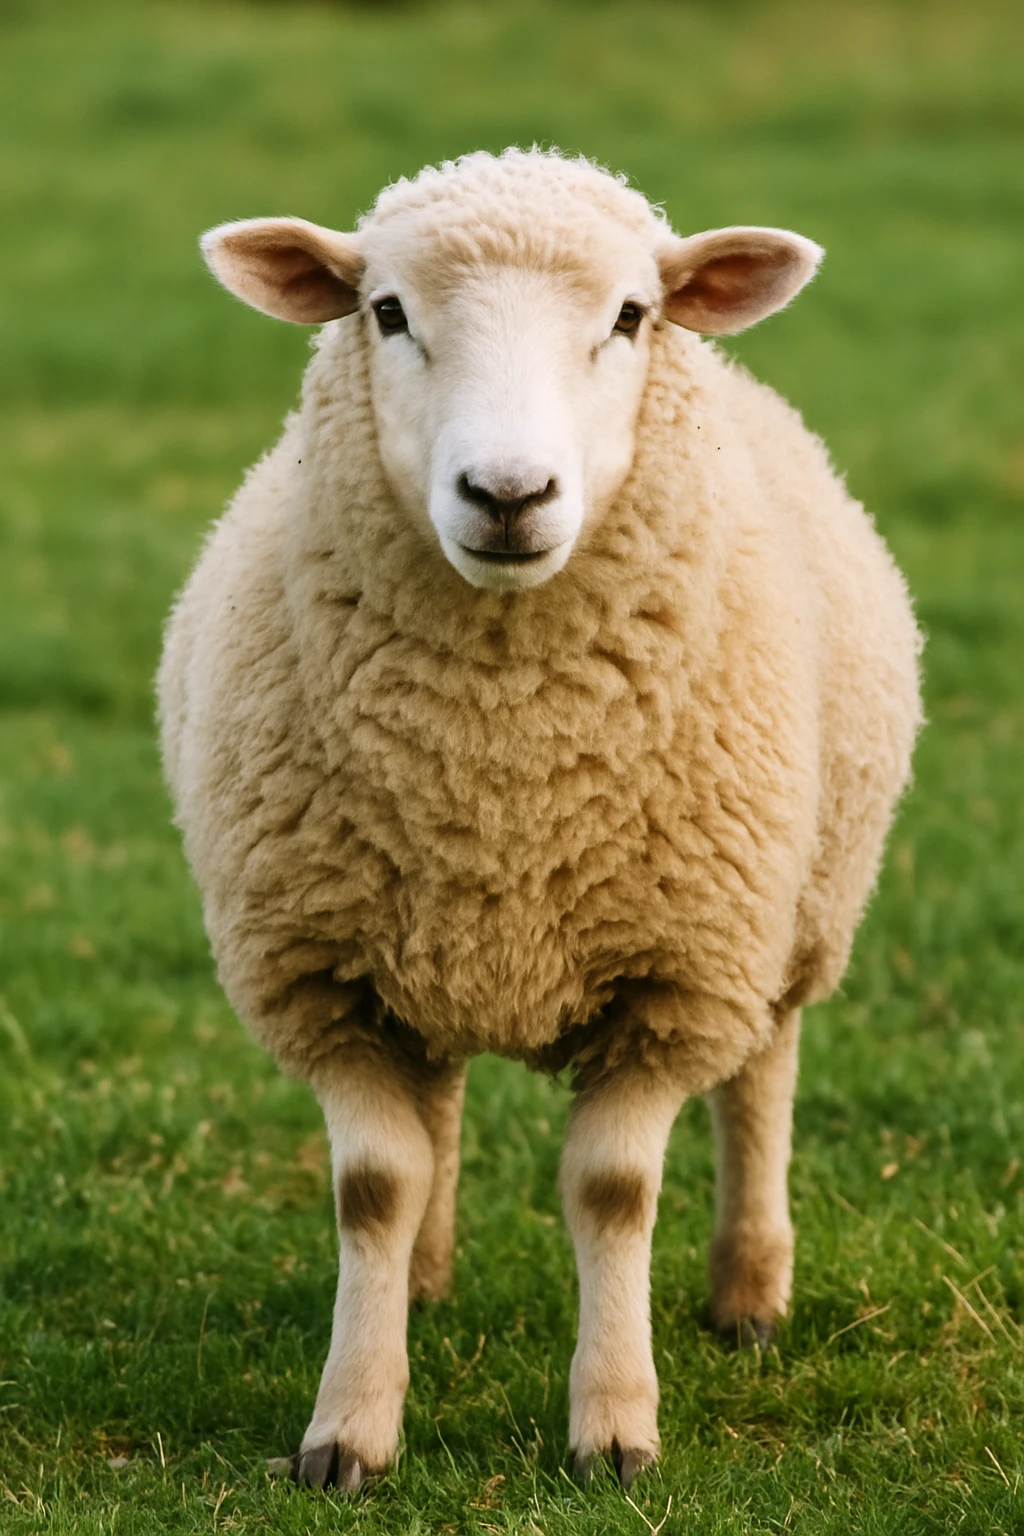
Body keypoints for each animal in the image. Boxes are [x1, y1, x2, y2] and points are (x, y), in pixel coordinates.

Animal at [158, 148, 922, 1491]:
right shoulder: (328, 974)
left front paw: (614, 1428)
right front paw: (349, 1426)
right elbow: (374, 1184)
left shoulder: (674, 975)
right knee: (439, 1107)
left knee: (762, 1077)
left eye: (628, 317)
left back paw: (749, 1293)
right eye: (386, 312)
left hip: (791, 911)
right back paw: (423, 1280)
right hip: (427, 947)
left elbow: (613, 1190)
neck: (499, 765)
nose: (507, 494)